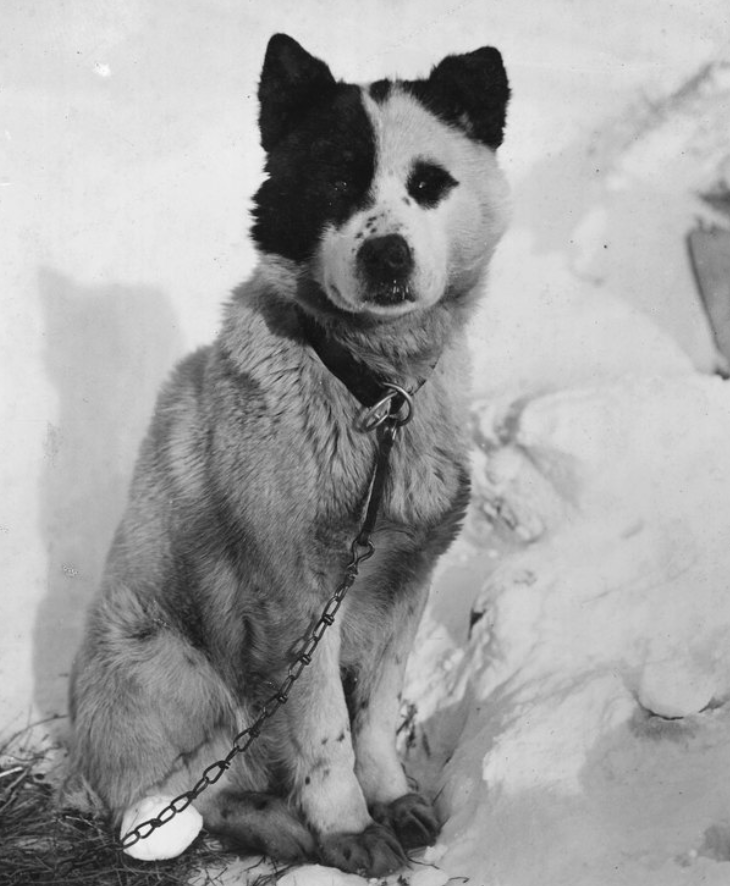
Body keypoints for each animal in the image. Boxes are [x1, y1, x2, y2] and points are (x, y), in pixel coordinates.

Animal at [71, 31, 510, 876]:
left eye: (428, 184)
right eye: (338, 178)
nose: (388, 255)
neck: (371, 392)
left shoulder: (404, 581)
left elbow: (373, 713)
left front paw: (391, 796)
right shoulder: (297, 599)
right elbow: (325, 730)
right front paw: (346, 826)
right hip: (164, 658)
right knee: (181, 796)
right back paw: (275, 825)